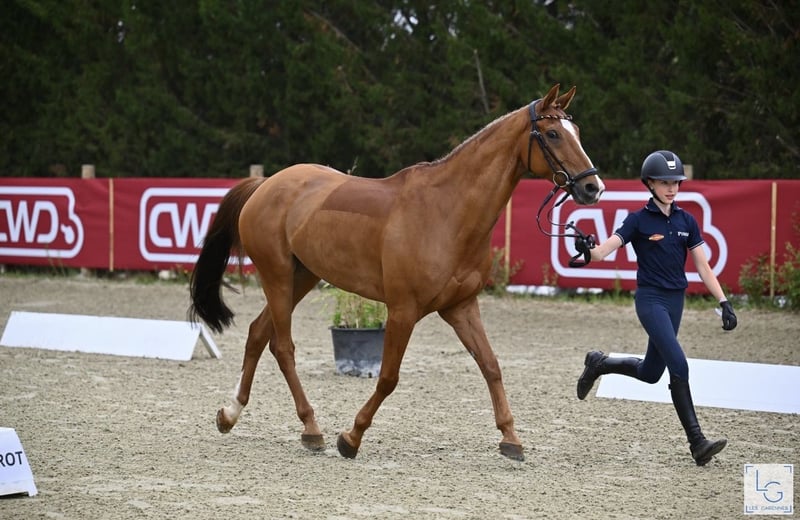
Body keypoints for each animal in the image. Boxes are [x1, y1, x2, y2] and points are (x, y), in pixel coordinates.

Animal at [189, 83, 604, 461]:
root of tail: (266, 184)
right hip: (276, 276)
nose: (592, 187)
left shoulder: (461, 307)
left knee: (258, 334)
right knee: (283, 346)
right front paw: (351, 438)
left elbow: (491, 366)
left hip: (301, 277)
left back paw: (230, 414)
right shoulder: (403, 310)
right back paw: (312, 429)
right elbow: (388, 378)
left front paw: (510, 439)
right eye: (552, 134)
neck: (447, 212)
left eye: (577, 130)